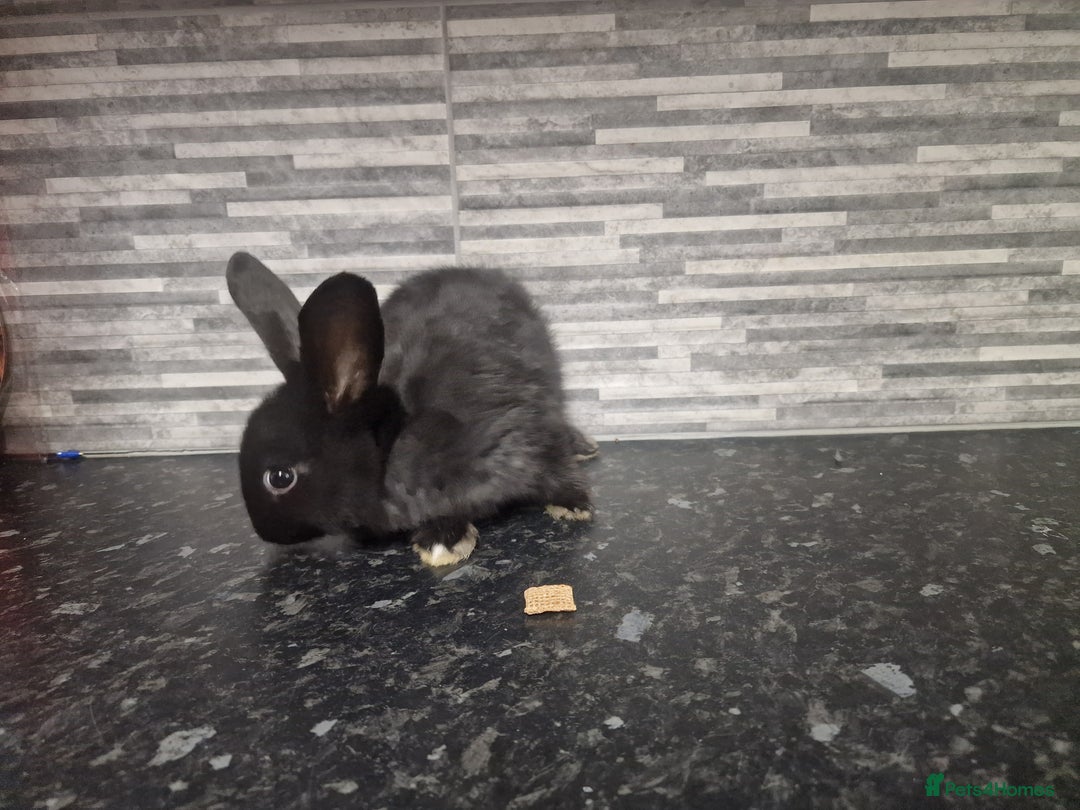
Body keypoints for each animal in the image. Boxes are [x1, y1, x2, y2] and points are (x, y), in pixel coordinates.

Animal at [226, 252, 597, 566]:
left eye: (280, 478)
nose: (265, 533)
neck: (391, 445)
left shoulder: (519, 433)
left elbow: (554, 468)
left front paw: (574, 504)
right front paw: (442, 540)